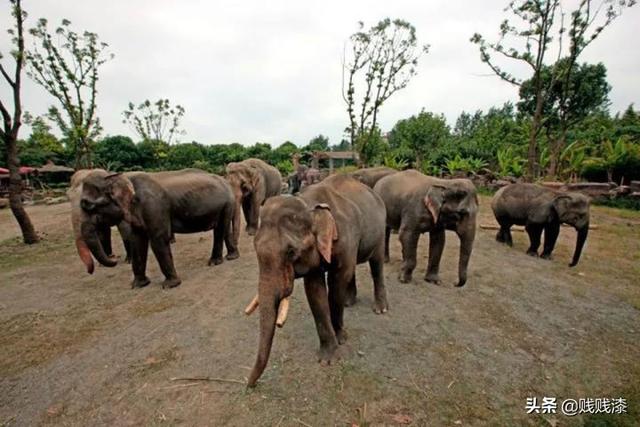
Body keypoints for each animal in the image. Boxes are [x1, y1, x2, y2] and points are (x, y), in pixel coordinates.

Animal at [72, 169, 238, 290]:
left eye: (87, 204)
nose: (113, 259)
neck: (118, 176)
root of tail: (226, 182)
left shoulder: (154, 207)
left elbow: (158, 240)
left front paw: (170, 285)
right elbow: (137, 242)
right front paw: (138, 285)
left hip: (227, 203)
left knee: (220, 229)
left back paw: (215, 262)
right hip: (225, 205)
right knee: (223, 228)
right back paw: (229, 257)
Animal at [245, 173, 388, 388]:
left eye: (290, 252)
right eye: (255, 247)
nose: (249, 384)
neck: (309, 205)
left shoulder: (345, 237)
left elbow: (337, 282)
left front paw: (340, 339)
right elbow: (314, 290)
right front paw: (327, 358)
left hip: (379, 230)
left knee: (376, 264)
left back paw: (380, 309)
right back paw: (350, 302)